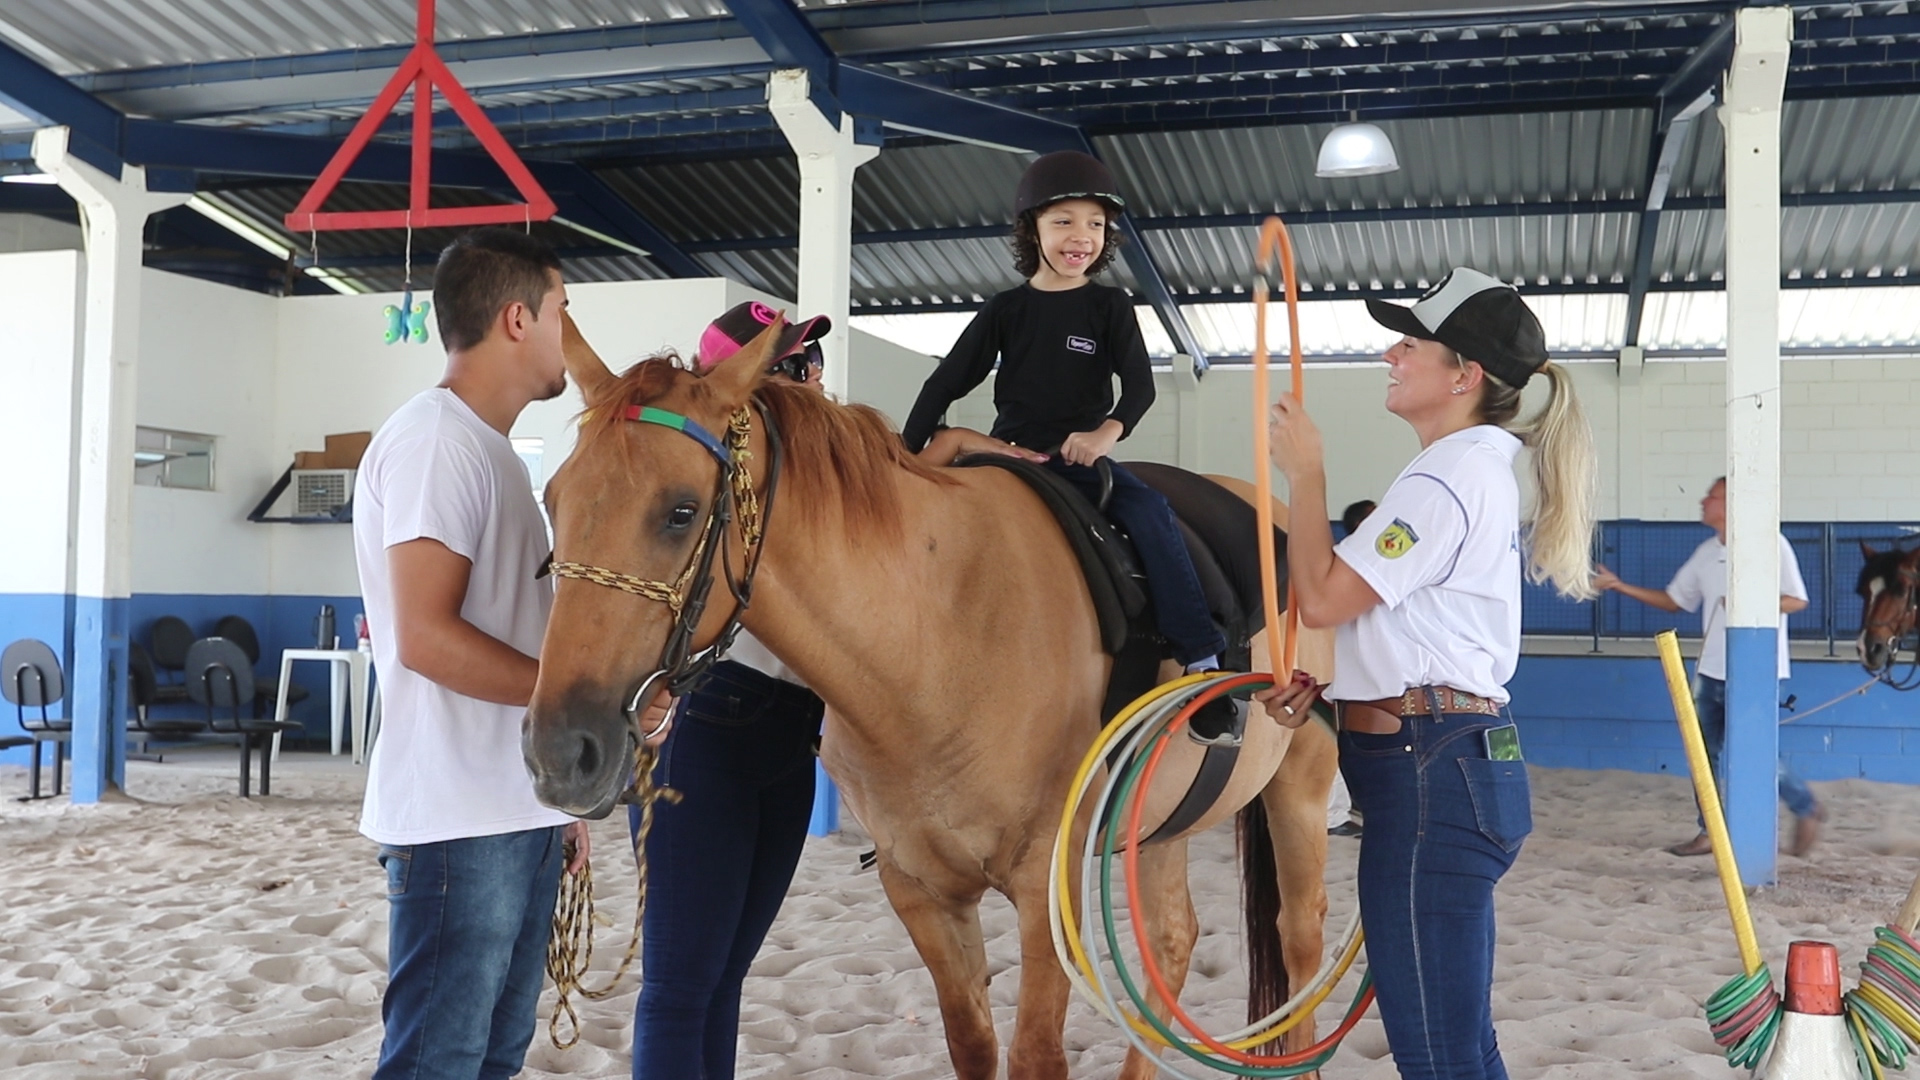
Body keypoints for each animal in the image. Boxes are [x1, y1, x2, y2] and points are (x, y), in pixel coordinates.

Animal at [518, 315, 1344, 1076]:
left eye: (682, 510)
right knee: (1172, 946)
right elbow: (972, 1044)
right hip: (1164, 821)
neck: (938, 638)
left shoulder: (1046, 892)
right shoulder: (918, 887)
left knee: (1300, 940)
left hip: (1301, 778)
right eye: (553, 500)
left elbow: (1036, 1056)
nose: (562, 752)